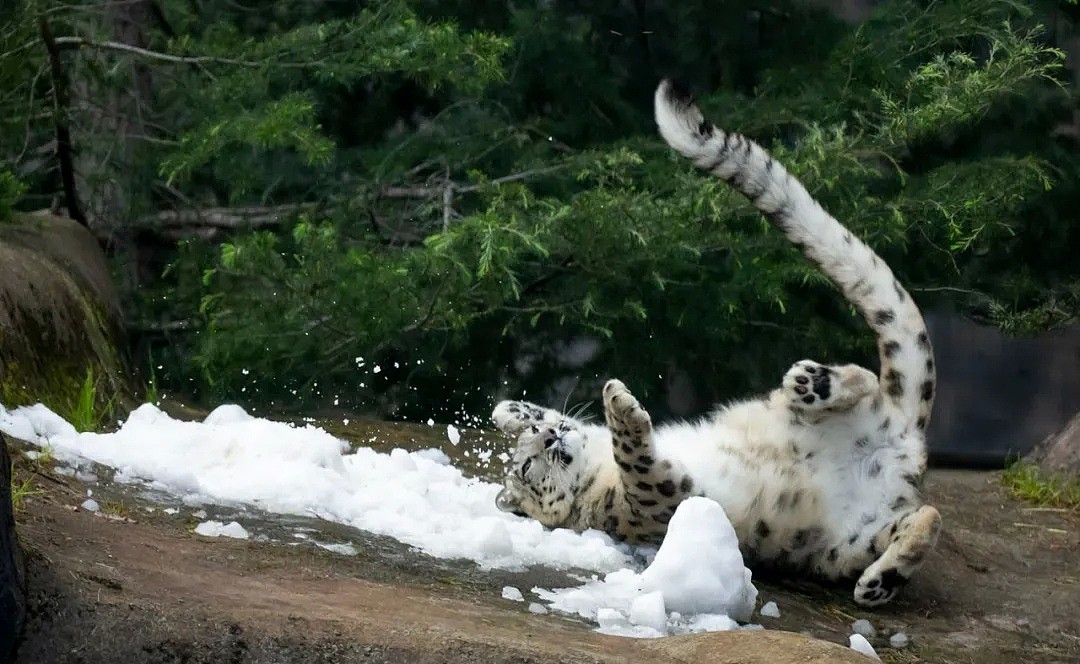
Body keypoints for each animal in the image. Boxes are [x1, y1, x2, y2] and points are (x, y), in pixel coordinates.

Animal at [490, 79, 937, 608]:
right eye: (527, 467)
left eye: (533, 446)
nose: (549, 438)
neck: (594, 465)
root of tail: (898, 445)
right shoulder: (658, 497)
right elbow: (636, 458)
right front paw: (619, 403)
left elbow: (547, 415)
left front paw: (518, 410)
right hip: (849, 543)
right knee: (924, 516)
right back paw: (879, 581)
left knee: (870, 391)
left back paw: (815, 385)